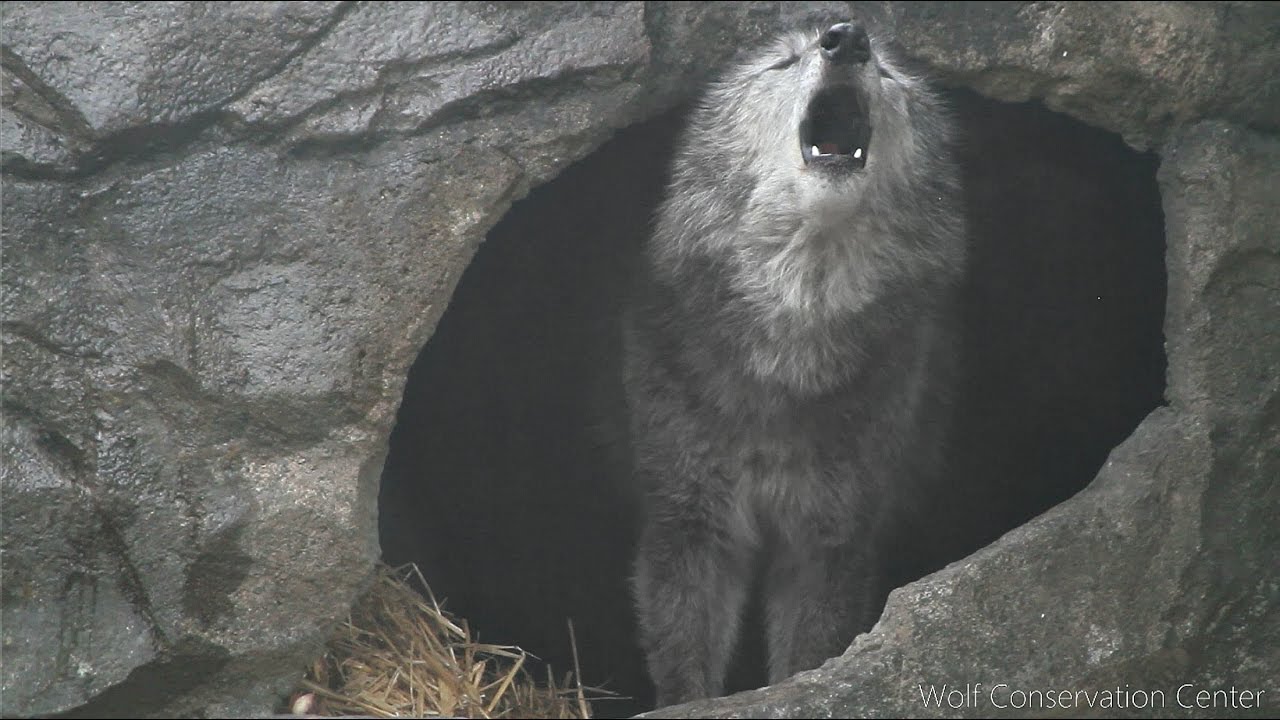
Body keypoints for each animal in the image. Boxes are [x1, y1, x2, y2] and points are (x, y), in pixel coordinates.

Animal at [621, 22, 966, 707]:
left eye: (889, 75)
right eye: (783, 62)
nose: (847, 37)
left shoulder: (829, 537)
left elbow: (810, 658)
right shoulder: (691, 523)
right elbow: (684, 660)